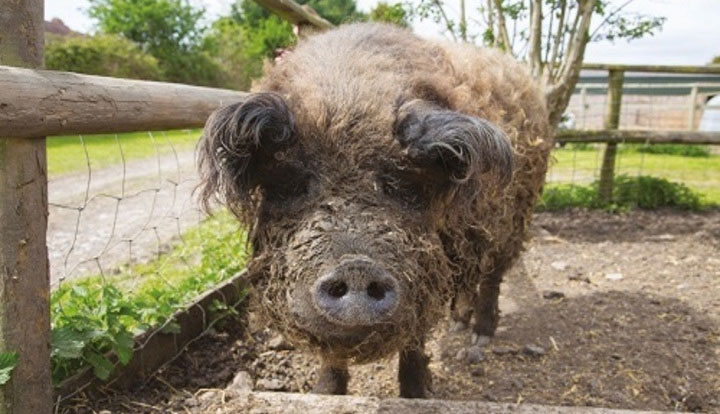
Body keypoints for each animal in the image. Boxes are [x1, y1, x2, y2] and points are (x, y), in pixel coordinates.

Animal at [197, 23, 552, 398]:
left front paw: (416, 396)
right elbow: (332, 355)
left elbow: (414, 337)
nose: (356, 266)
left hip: (515, 217)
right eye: (296, 183)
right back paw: (457, 323)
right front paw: (324, 395)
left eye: (396, 183)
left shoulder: (426, 264)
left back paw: (479, 338)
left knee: (493, 275)